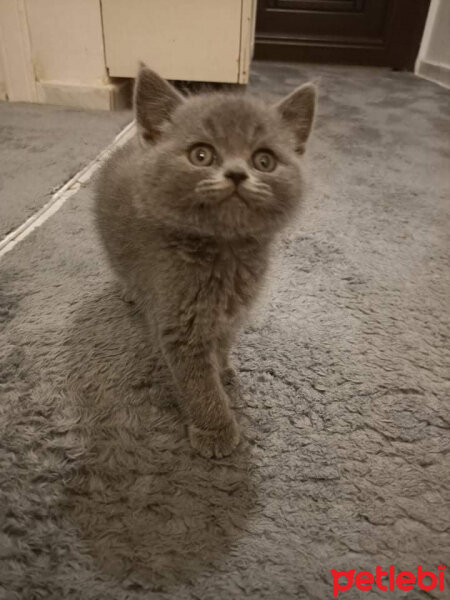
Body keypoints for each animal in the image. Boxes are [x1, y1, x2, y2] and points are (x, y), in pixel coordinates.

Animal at [93, 65, 314, 458]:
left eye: (264, 161)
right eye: (201, 155)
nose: (238, 174)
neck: (225, 255)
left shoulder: (231, 313)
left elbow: (221, 345)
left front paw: (222, 369)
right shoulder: (180, 322)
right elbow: (198, 383)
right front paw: (216, 431)